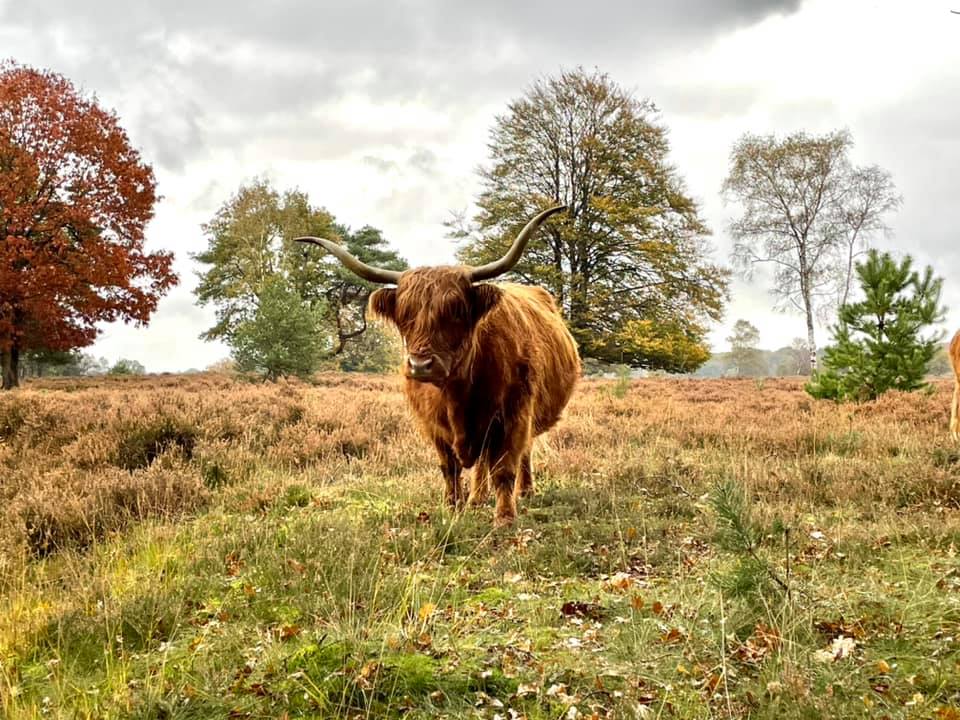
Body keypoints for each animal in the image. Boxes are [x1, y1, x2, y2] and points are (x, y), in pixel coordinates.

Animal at [298, 205, 576, 524]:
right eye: (405, 314)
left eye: (456, 311)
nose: (420, 365)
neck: (457, 392)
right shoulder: (433, 424)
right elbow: (449, 468)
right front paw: (453, 507)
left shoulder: (514, 414)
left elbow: (505, 468)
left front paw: (505, 518)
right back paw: (476, 499)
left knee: (520, 453)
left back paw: (524, 492)